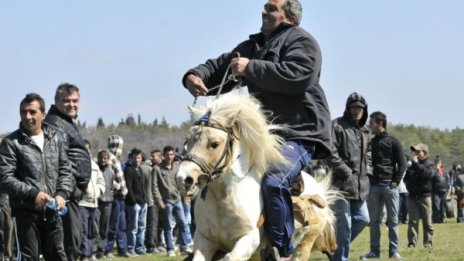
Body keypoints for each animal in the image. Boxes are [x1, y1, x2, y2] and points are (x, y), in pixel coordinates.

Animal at [177, 92, 338, 258]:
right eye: (187, 141)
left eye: (214, 144)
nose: (183, 179)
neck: (222, 198)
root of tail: (320, 191)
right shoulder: (204, 240)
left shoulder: (249, 239)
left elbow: (231, 256)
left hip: (304, 246)